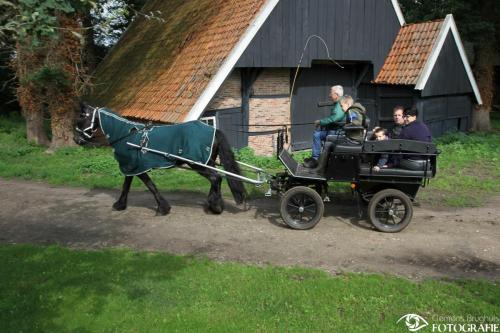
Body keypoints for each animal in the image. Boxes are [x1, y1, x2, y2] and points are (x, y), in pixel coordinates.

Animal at [74, 102, 246, 214]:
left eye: (82, 116)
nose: (76, 140)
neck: (127, 135)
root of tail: (213, 130)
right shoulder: (131, 168)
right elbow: (126, 186)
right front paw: (120, 204)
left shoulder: (136, 168)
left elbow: (150, 186)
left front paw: (163, 208)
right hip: (208, 162)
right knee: (217, 179)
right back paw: (215, 204)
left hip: (199, 164)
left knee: (216, 178)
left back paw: (215, 206)